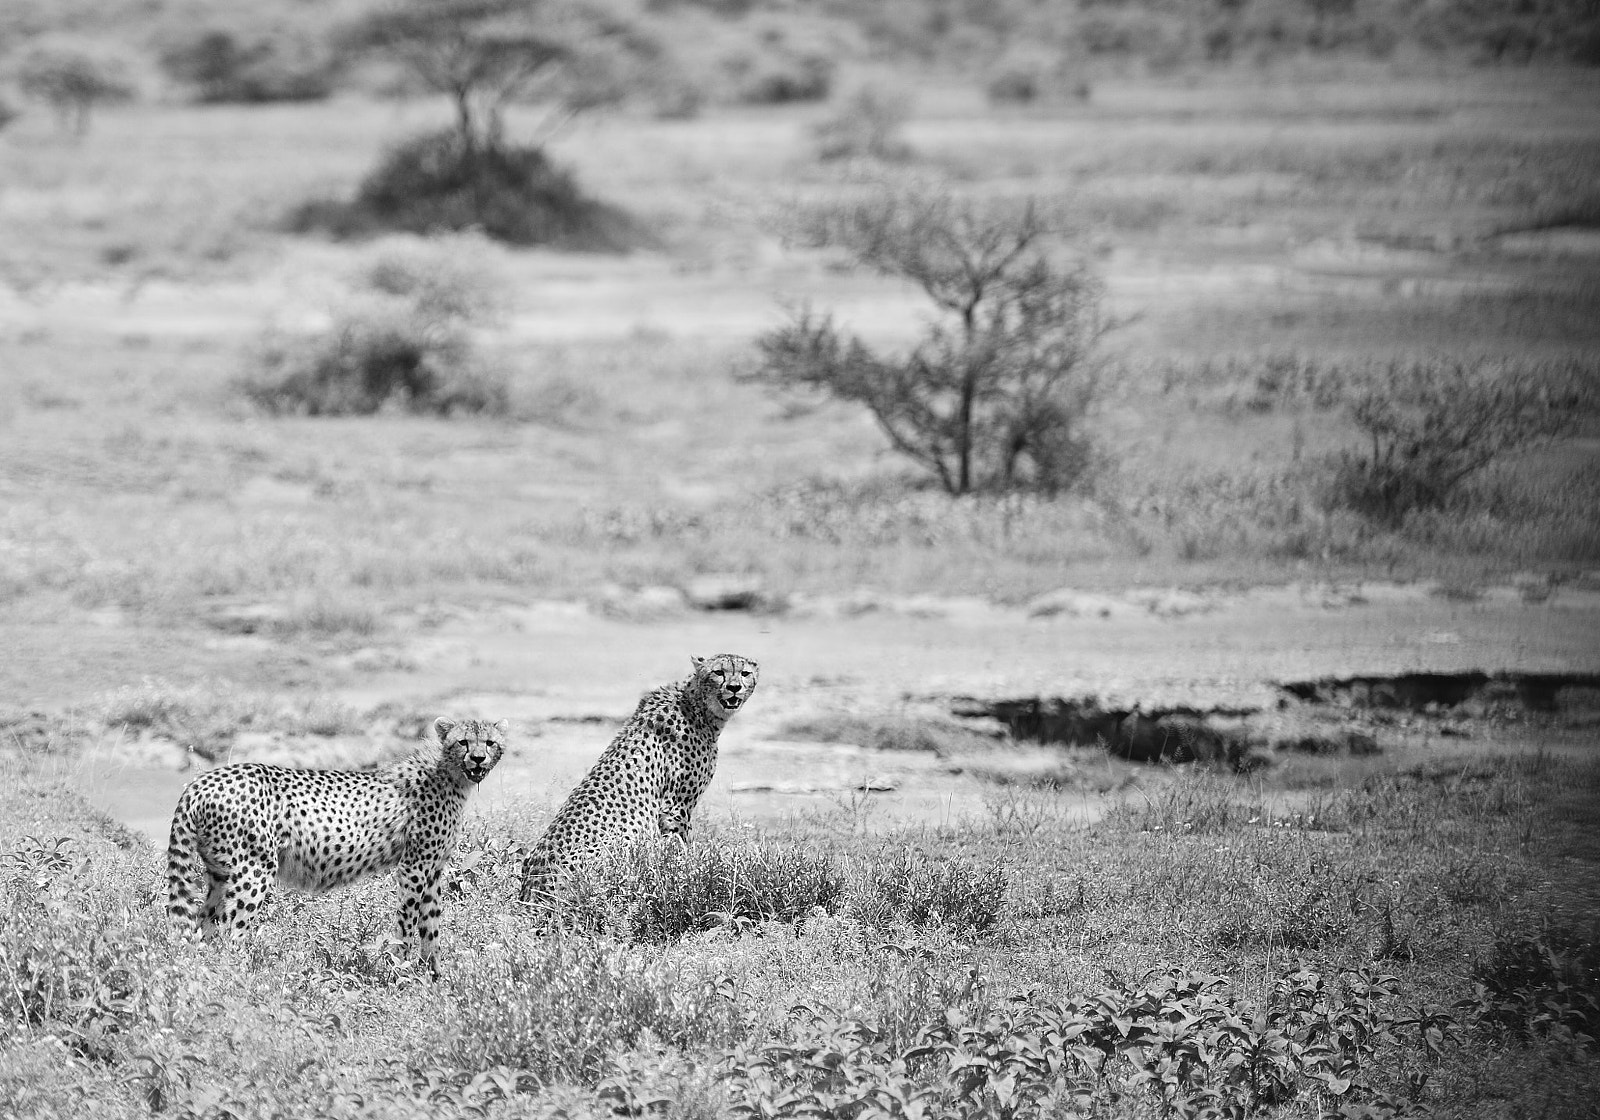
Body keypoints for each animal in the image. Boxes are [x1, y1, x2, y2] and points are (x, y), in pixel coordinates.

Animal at [166, 717, 506, 973]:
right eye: (463, 742)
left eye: (489, 742)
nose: (478, 758)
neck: (451, 774)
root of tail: (203, 780)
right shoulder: (414, 866)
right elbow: (407, 921)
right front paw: (402, 969)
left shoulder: (433, 868)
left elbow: (432, 923)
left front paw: (434, 976)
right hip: (254, 870)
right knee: (230, 930)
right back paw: (241, 976)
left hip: (220, 874)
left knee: (203, 925)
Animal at [518, 654, 758, 905]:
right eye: (718, 672)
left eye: (745, 673)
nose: (734, 687)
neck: (697, 706)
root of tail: (532, 889)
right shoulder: (675, 806)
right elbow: (679, 849)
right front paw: (687, 876)